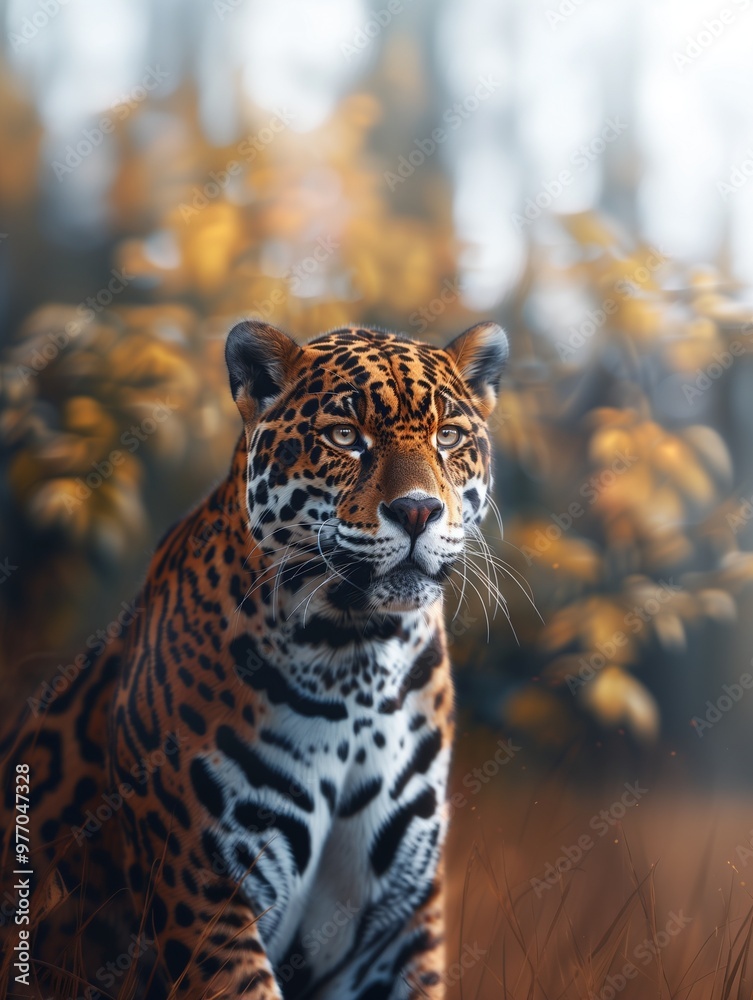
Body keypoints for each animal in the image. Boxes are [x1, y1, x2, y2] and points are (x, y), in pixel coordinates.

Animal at [0, 319, 508, 999]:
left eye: (448, 437)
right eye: (345, 437)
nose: (418, 511)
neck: (357, 652)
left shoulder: (393, 925)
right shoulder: (208, 891)